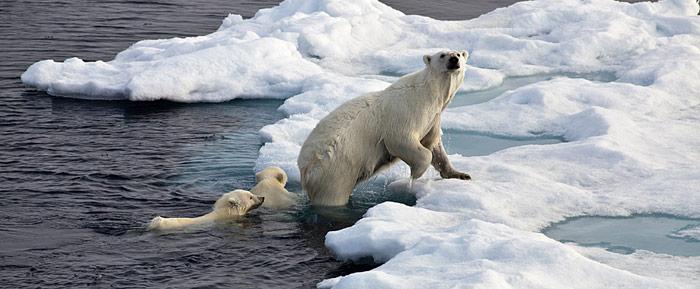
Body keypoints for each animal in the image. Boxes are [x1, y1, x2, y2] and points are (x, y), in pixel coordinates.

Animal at [298, 50, 474, 206]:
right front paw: (415, 174)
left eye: (459, 54)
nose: (454, 59)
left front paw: (460, 174)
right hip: (334, 171)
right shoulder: (406, 112)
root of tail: (305, 170)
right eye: (443, 55)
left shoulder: (433, 118)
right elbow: (402, 141)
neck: (430, 94)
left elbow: (434, 145)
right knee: (333, 196)